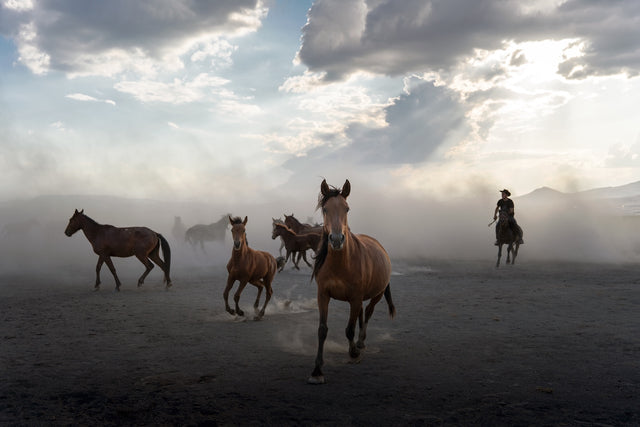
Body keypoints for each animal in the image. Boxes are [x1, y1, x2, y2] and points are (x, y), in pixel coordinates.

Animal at [308, 179, 395, 384]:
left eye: (347, 209)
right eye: (325, 209)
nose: (336, 239)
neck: (341, 264)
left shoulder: (355, 298)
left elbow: (349, 329)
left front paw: (354, 353)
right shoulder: (323, 295)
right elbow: (322, 330)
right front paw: (317, 370)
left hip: (377, 294)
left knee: (368, 313)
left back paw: (360, 343)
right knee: (362, 314)